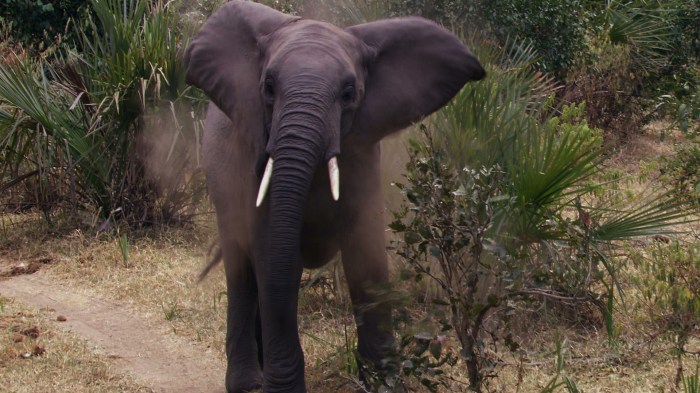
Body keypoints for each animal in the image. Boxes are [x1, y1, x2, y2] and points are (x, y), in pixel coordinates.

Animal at [183, 1, 484, 390]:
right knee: (243, 269)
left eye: (348, 93)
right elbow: (273, 254)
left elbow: (365, 253)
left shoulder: (362, 150)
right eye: (268, 88)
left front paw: (384, 382)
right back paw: (248, 382)